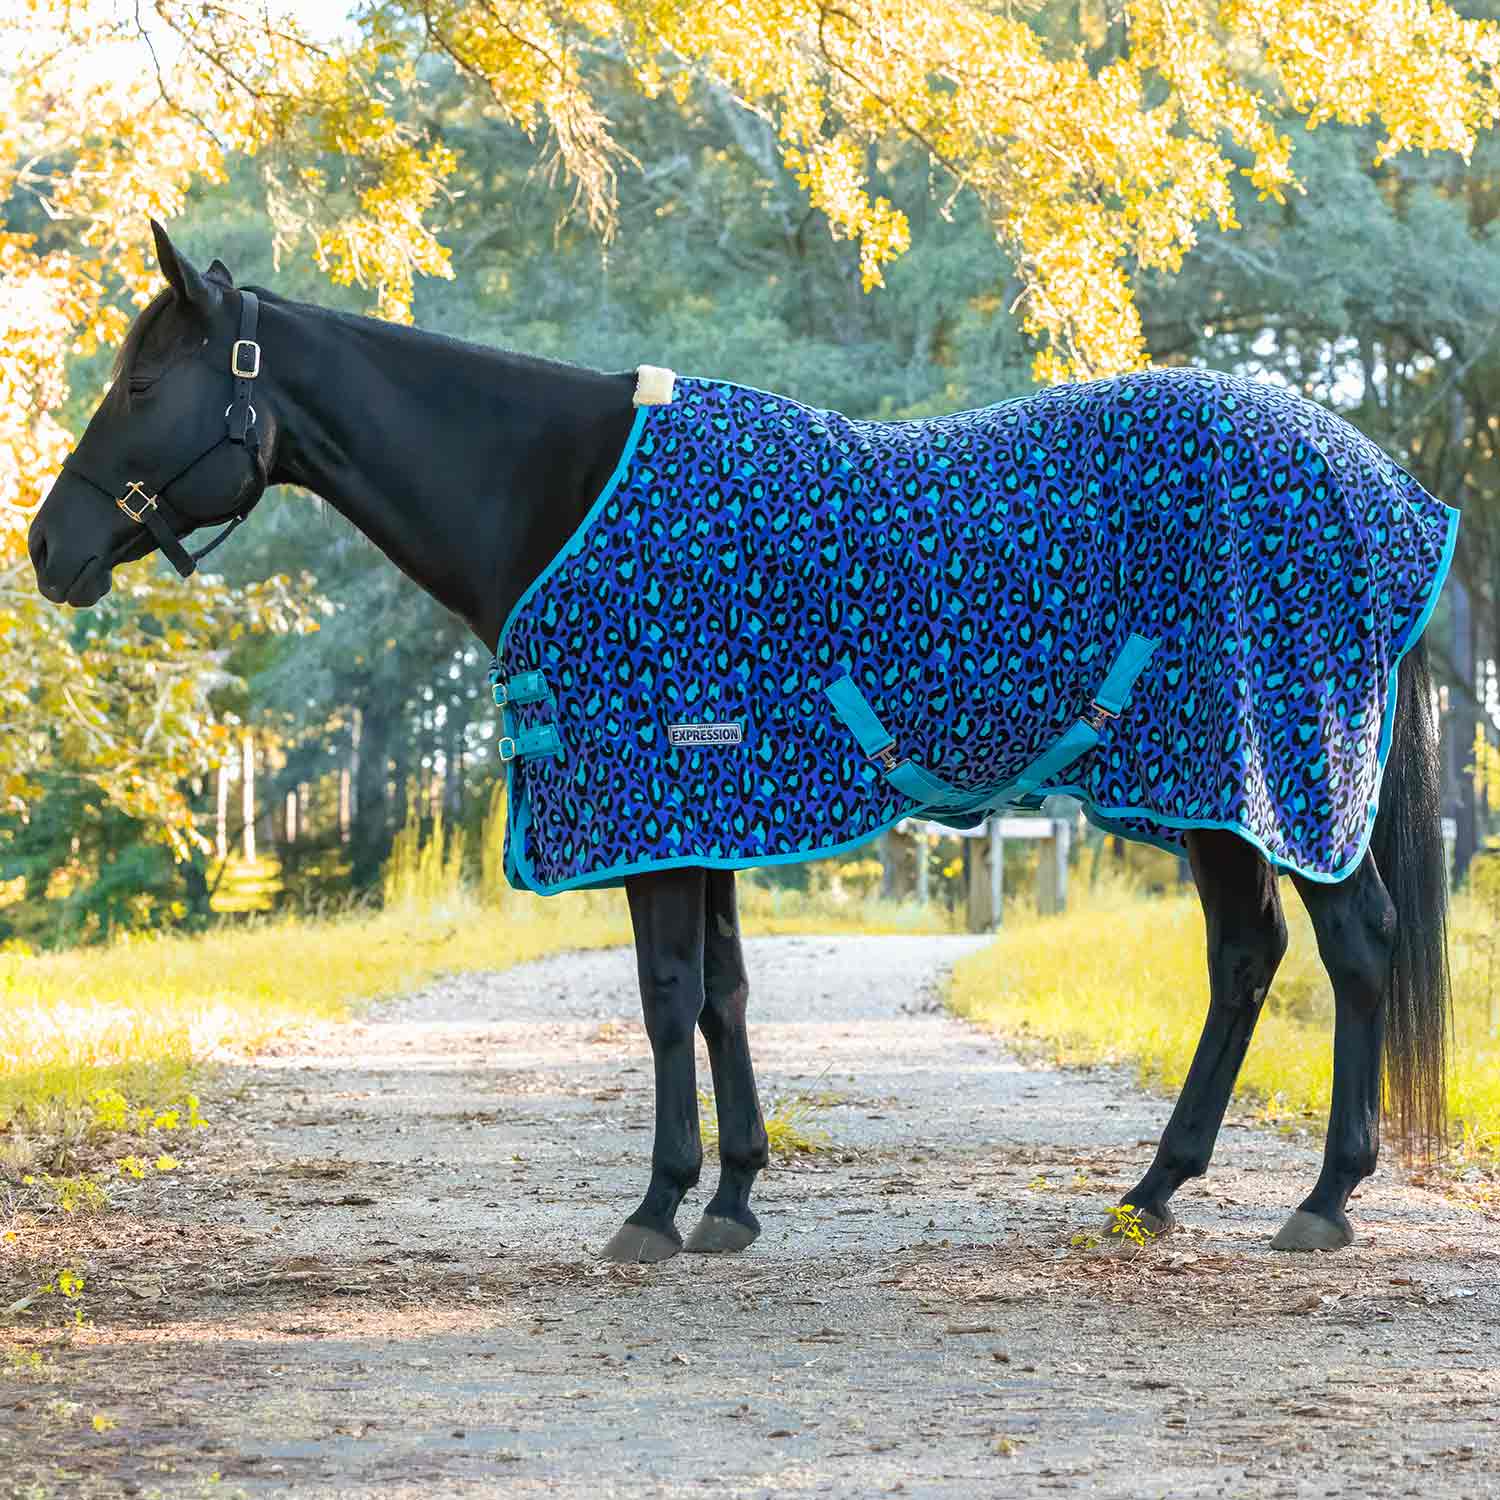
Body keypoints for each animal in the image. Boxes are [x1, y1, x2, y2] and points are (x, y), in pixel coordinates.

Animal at [29, 222, 1455, 1261]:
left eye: (144, 381)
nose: (49, 548)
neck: (559, 489)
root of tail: (1389, 487)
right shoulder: (702, 812)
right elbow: (722, 994)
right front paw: (733, 1197)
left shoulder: (658, 806)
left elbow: (665, 998)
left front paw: (658, 1209)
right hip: (1207, 800)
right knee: (1247, 958)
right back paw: (1154, 1188)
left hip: (1277, 776)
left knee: (1353, 946)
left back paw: (1323, 1200)